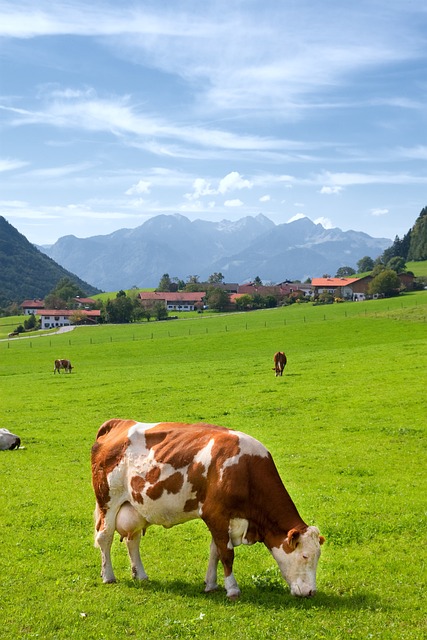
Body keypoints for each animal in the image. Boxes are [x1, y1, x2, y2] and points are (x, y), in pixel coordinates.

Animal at [91, 420, 324, 600]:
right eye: (305, 556)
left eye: (317, 557)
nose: (311, 592)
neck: (246, 471)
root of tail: (119, 423)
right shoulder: (217, 514)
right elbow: (227, 554)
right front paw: (232, 589)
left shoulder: (221, 520)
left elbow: (215, 552)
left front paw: (211, 584)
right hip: (108, 501)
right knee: (105, 537)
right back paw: (108, 576)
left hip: (135, 507)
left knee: (133, 540)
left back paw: (140, 574)